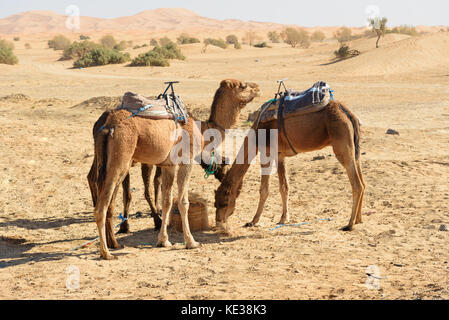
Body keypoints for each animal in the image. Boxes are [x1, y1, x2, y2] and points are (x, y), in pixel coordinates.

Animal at [92, 80, 260, 260]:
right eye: (242, 86)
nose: (257, 88)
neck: (202, 128)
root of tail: (107, 127)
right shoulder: (186, 161)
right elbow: (183, 201)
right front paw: (191, 242)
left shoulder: (169, 165)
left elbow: (166, 201)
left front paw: (163, 241)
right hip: (121, 158)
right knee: (102, 206)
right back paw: (107, 252)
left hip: (106, 161)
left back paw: (113, 244)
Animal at [214, 99, 364, 231]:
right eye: (215, 203)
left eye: (224, 203)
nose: (218, 222)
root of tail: (347, 112)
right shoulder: (280, 155)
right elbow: (284, 187)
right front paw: (284, 218)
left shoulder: (266, 152)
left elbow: (264, 189)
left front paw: (253, 221)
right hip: (353, 147)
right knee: (363, 181)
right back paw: (358, 219)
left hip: (341, 144)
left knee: (357, 184)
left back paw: (349, 224)